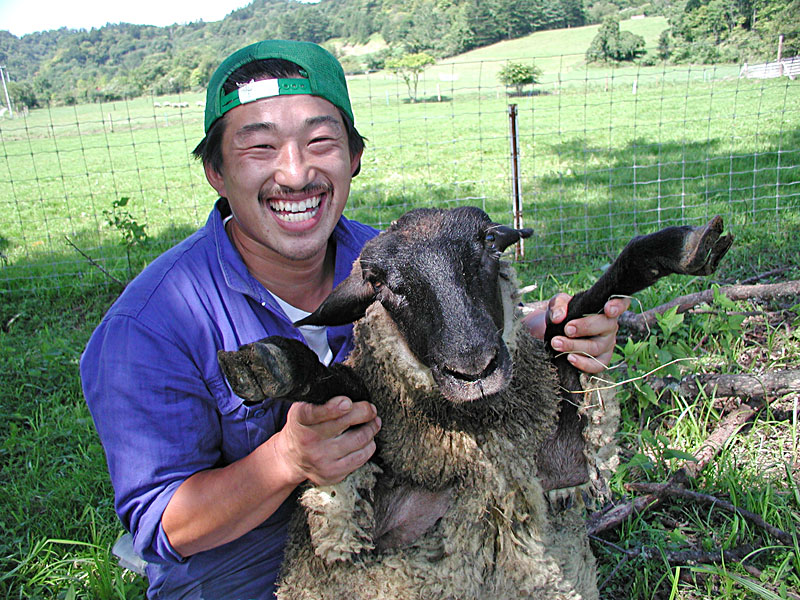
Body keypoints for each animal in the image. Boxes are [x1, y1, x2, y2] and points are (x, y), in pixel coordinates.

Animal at [216, 207, 728, 600]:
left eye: (488, 242)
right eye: (378, 282)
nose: (474, 369)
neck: (483, 436)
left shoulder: (557, 462)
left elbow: (575, 318)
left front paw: (680, 248)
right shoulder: (370, 530)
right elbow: (345, 389)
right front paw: (277, 365)